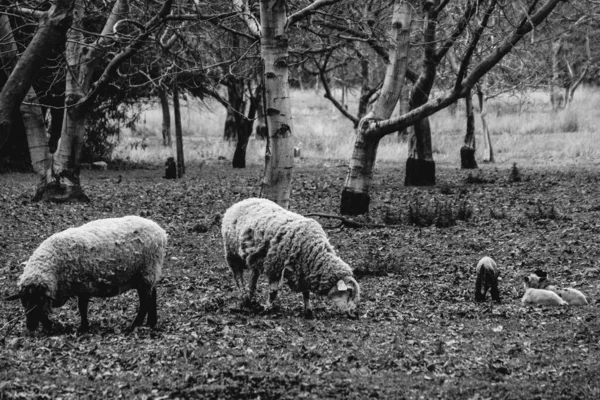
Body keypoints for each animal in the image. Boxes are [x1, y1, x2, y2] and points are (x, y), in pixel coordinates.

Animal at [5, 216, 168, 332]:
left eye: (38, 301)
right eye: (23, 301)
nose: (30, 326)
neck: (54, 267)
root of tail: (161, 232)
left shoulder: (83, 285)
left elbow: (82, 307)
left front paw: (83, 327)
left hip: (146, 271)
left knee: (145, 301)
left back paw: (135, 325)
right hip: (148, 274)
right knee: (152, 295)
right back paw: (151, 323)